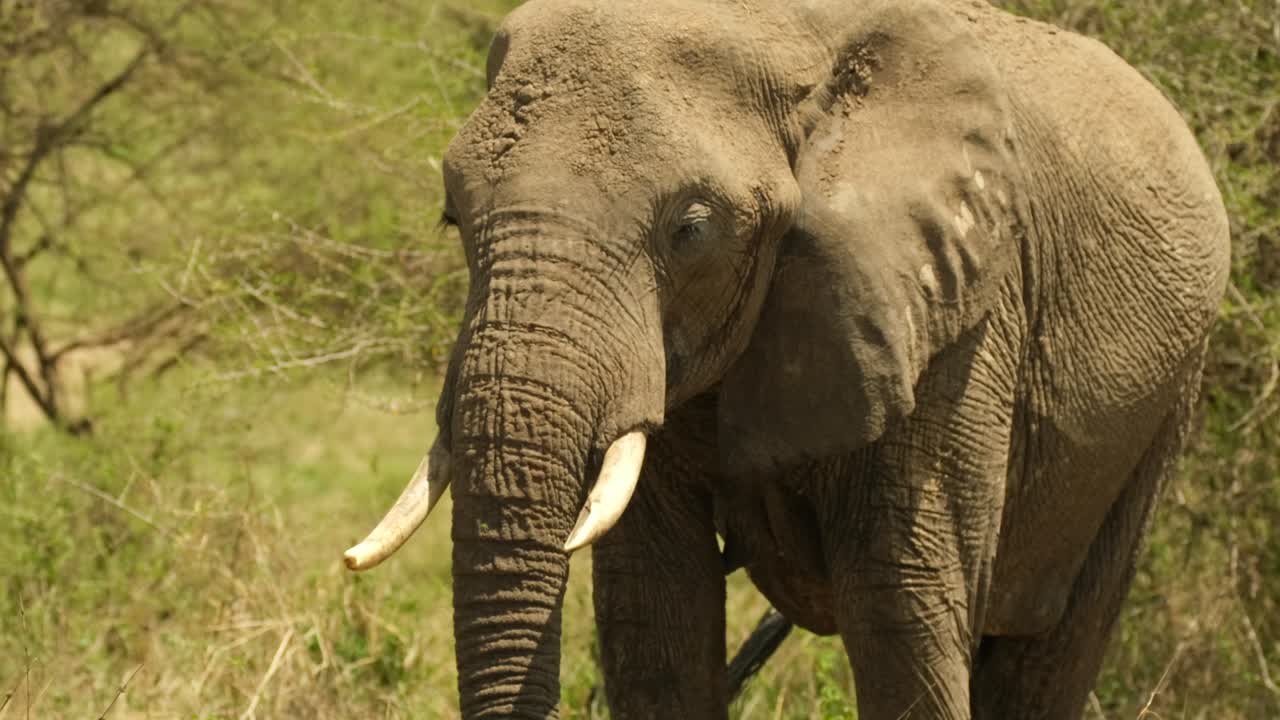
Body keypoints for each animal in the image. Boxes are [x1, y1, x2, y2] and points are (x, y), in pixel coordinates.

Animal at [343, 0, 1231, 718]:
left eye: (692, 228)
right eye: (453, 216)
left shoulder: (962, 317)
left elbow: (899, 605)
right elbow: (655, 614)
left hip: (1164, 400)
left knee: (1052, 653)